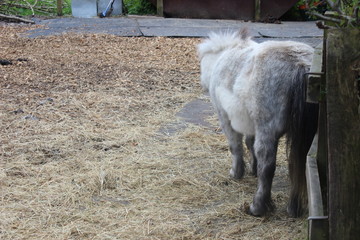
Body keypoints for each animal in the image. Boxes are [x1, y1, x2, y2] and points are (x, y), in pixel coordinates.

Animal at [198, 29, 320, 217]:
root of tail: (300, 64)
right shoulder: (250, 124)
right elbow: (249, 143)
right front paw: (252, 168)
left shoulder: (225, 118)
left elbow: (235, 147)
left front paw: (236, 172)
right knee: (297, 164)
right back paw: (293, 207)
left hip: (267, 131)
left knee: (267, 167)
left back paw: (257, 207)